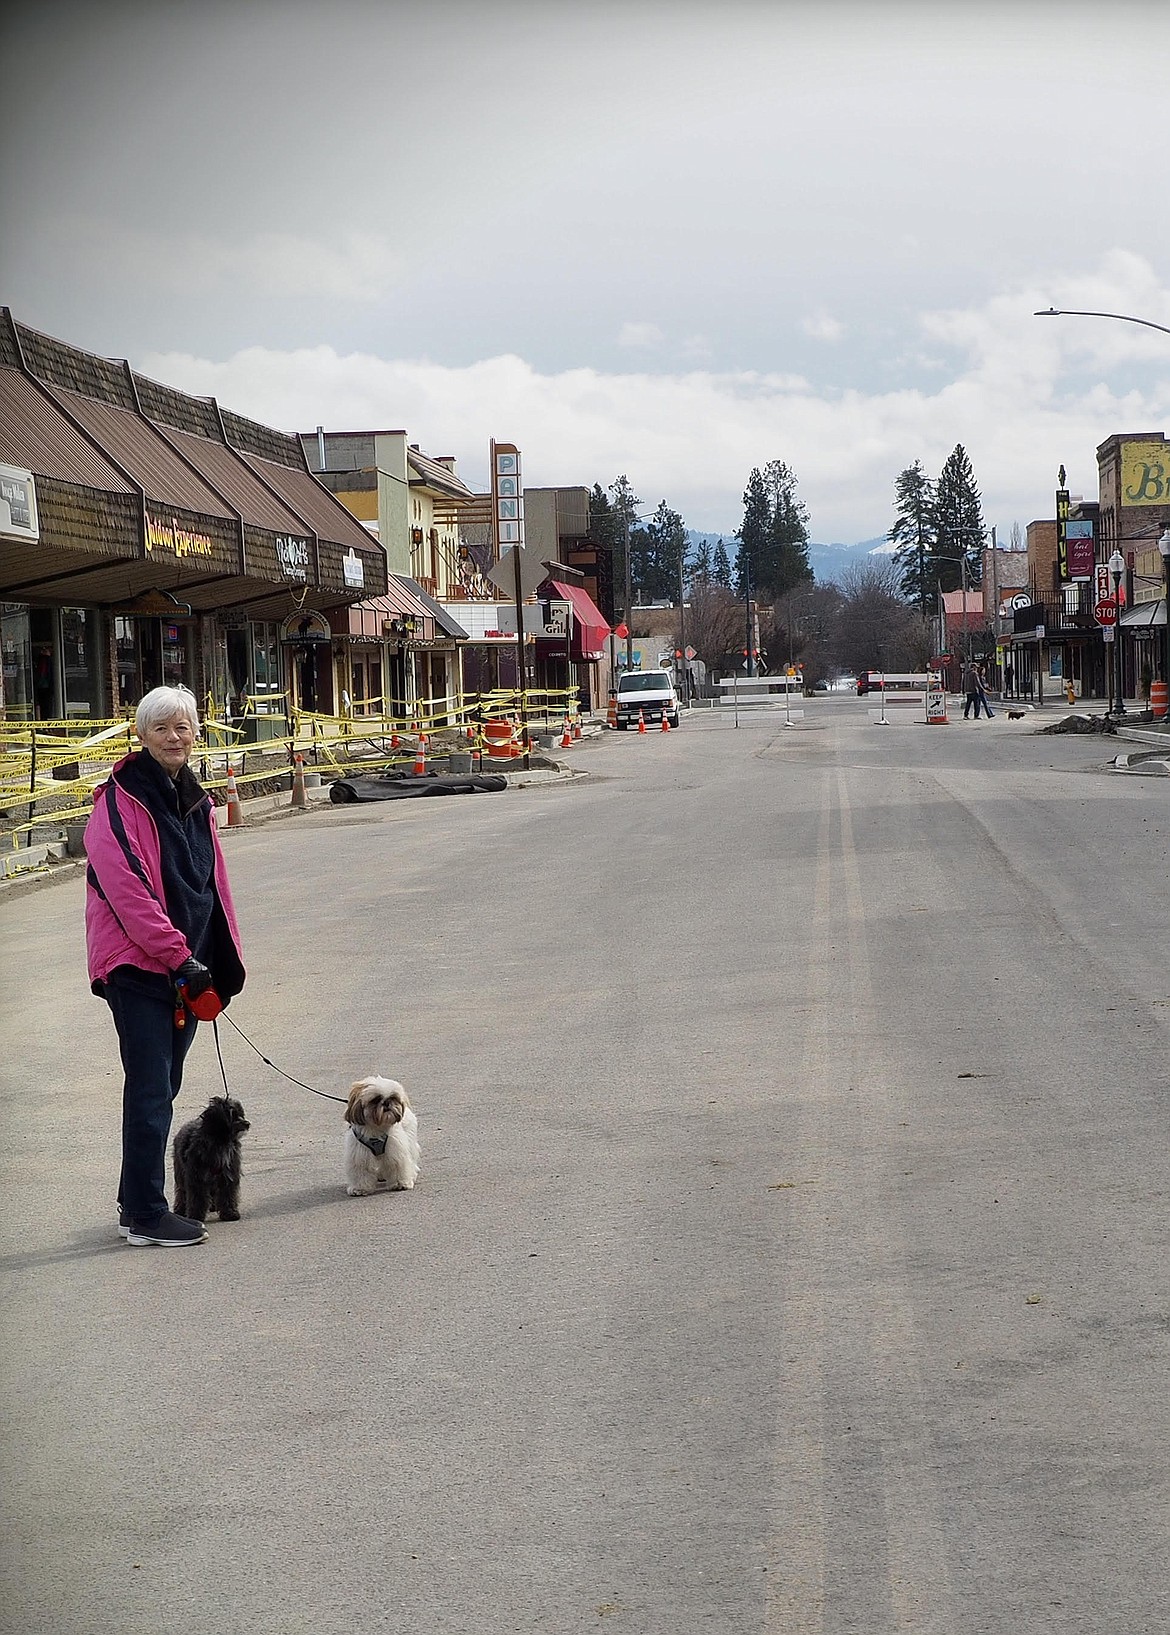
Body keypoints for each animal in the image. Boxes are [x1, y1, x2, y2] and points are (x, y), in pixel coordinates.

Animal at [169, 1092, 248, 1222]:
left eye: (241, 1114)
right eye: (232, 1115)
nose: (246, 1123)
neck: (220, 1141)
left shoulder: (228, 1175)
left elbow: (228, 1195)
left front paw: (230, 1213)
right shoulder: (197, 1177)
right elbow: (197, 1198)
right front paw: (196, 1215)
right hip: (181, 1172)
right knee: (182, 1192)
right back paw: (181, 1209)